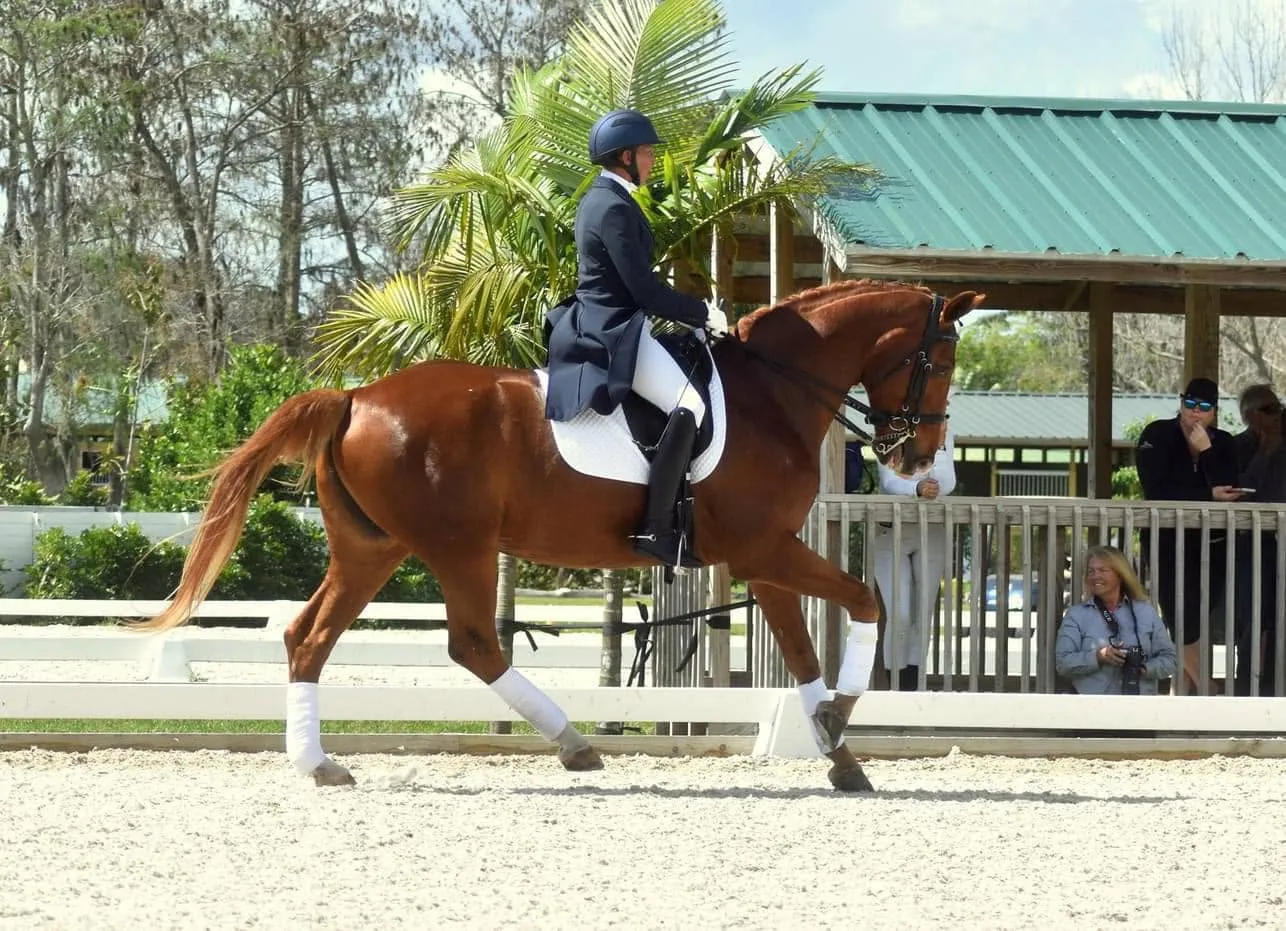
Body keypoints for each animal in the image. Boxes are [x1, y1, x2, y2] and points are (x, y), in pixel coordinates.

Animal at [134, 278, 982, 791]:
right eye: (941, 360)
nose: (920, 462)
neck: (772, 393)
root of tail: (357, 395)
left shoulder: (765, 557)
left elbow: (805, 653)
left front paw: (839, 752)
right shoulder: (762, 549)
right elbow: (867, 601)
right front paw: (839, 721)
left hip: (373, 548)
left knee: (309, 635)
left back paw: (319, 762)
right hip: (460, 547)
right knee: (474, 643)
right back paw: (574, 740)